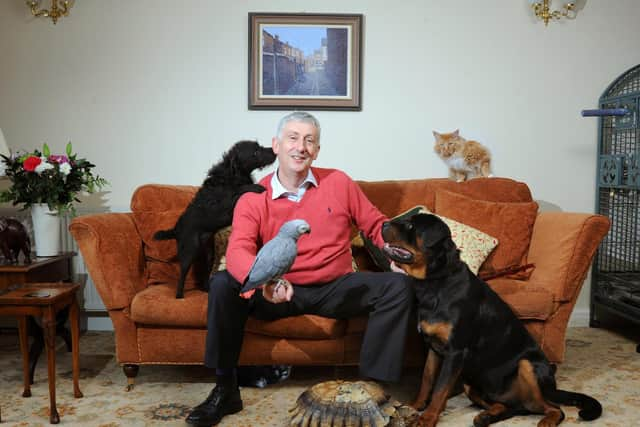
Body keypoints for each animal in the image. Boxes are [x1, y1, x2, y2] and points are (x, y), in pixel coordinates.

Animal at [156, 142, 276, 300]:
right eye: (255, 152)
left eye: (259, 145)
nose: (274, 151)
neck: (232, 174)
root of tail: (176, 229)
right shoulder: (227, 203)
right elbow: (241, 190)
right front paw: (258, 187)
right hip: (189, 251)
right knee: (182, 274)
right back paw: (179, 295)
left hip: (209, 253)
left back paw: (206, 289)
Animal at [382, 213, 604, 427]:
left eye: (410, 226)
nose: (384, 224)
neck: (435, 282)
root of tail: (553, 386)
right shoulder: (433, 348)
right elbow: (427, 380)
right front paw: (415, 406)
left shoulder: (455, 352)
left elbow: (439, 389)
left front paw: (427, 419)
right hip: (471, 384)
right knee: (515, 406)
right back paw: (486, 417)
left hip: (528, 366)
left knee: (551, 408)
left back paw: (547, 420)